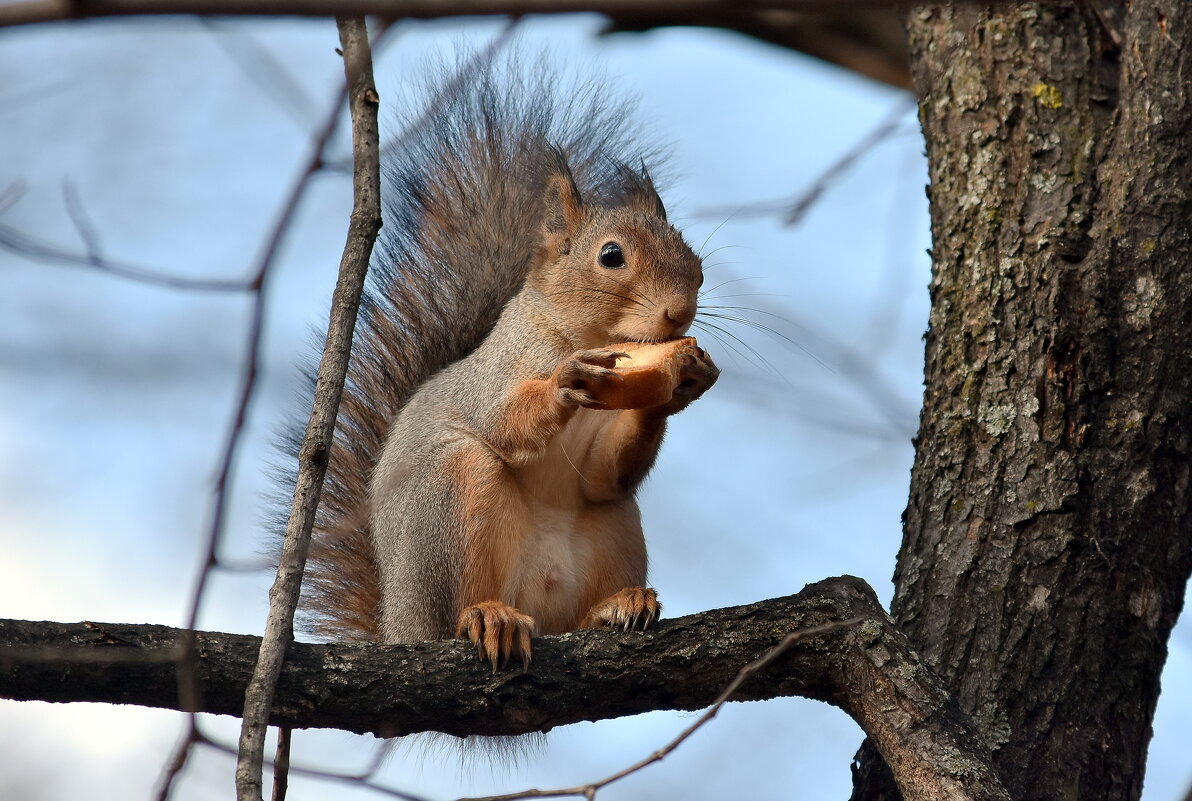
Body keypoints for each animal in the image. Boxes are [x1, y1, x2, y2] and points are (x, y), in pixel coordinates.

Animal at [298, 57, 719, 667]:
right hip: (452, 501)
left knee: (594, 553)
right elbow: (503, 421)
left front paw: (681, 384)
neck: (578, 333)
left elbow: (604, 472)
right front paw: (566, 381)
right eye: (611, 255)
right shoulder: (500, 374)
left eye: (694, 257)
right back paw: (488, 616)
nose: (680, 312)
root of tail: (399, 625)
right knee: (459, 606)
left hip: (614, 525)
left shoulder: (602, 457)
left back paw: (618, 606)